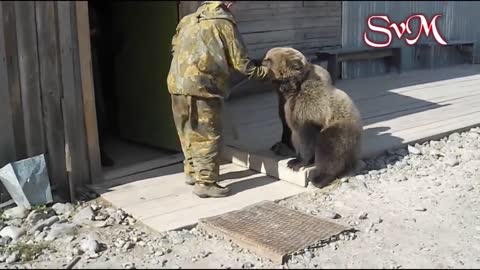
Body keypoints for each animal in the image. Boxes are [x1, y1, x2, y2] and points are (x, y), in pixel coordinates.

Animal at [262, 46, 360, 188]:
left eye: (269, 59)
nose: (260, 61)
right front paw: (291, 156)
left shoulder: (307, 106)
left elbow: (305, 135)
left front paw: (296, 162)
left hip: (340, 129)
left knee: (329, 148)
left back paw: (320, 178)